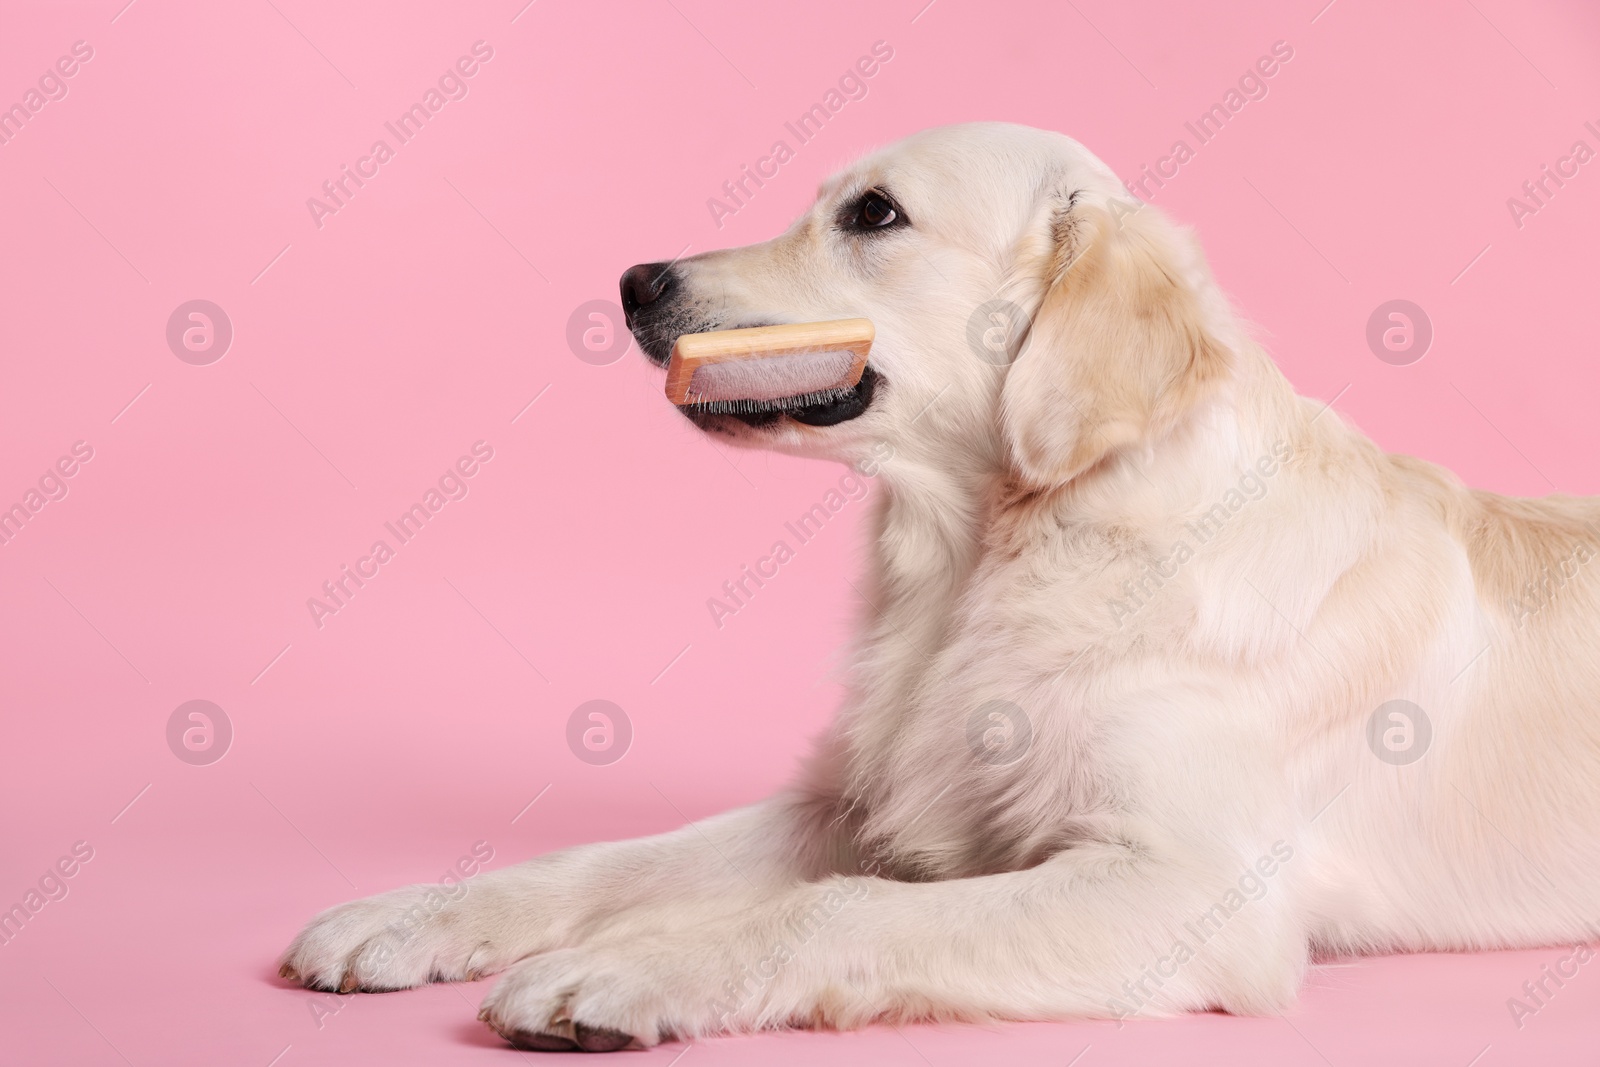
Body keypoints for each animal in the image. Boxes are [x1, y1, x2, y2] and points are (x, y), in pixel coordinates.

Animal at [278, 123, 1600, 1049]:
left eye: (873, 213)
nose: (635, 281)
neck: (998, 555)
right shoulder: (853, 799)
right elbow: (614, 859)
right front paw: (413, 913)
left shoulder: (1188, 885)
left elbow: (844, 908)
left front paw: (631, 964)